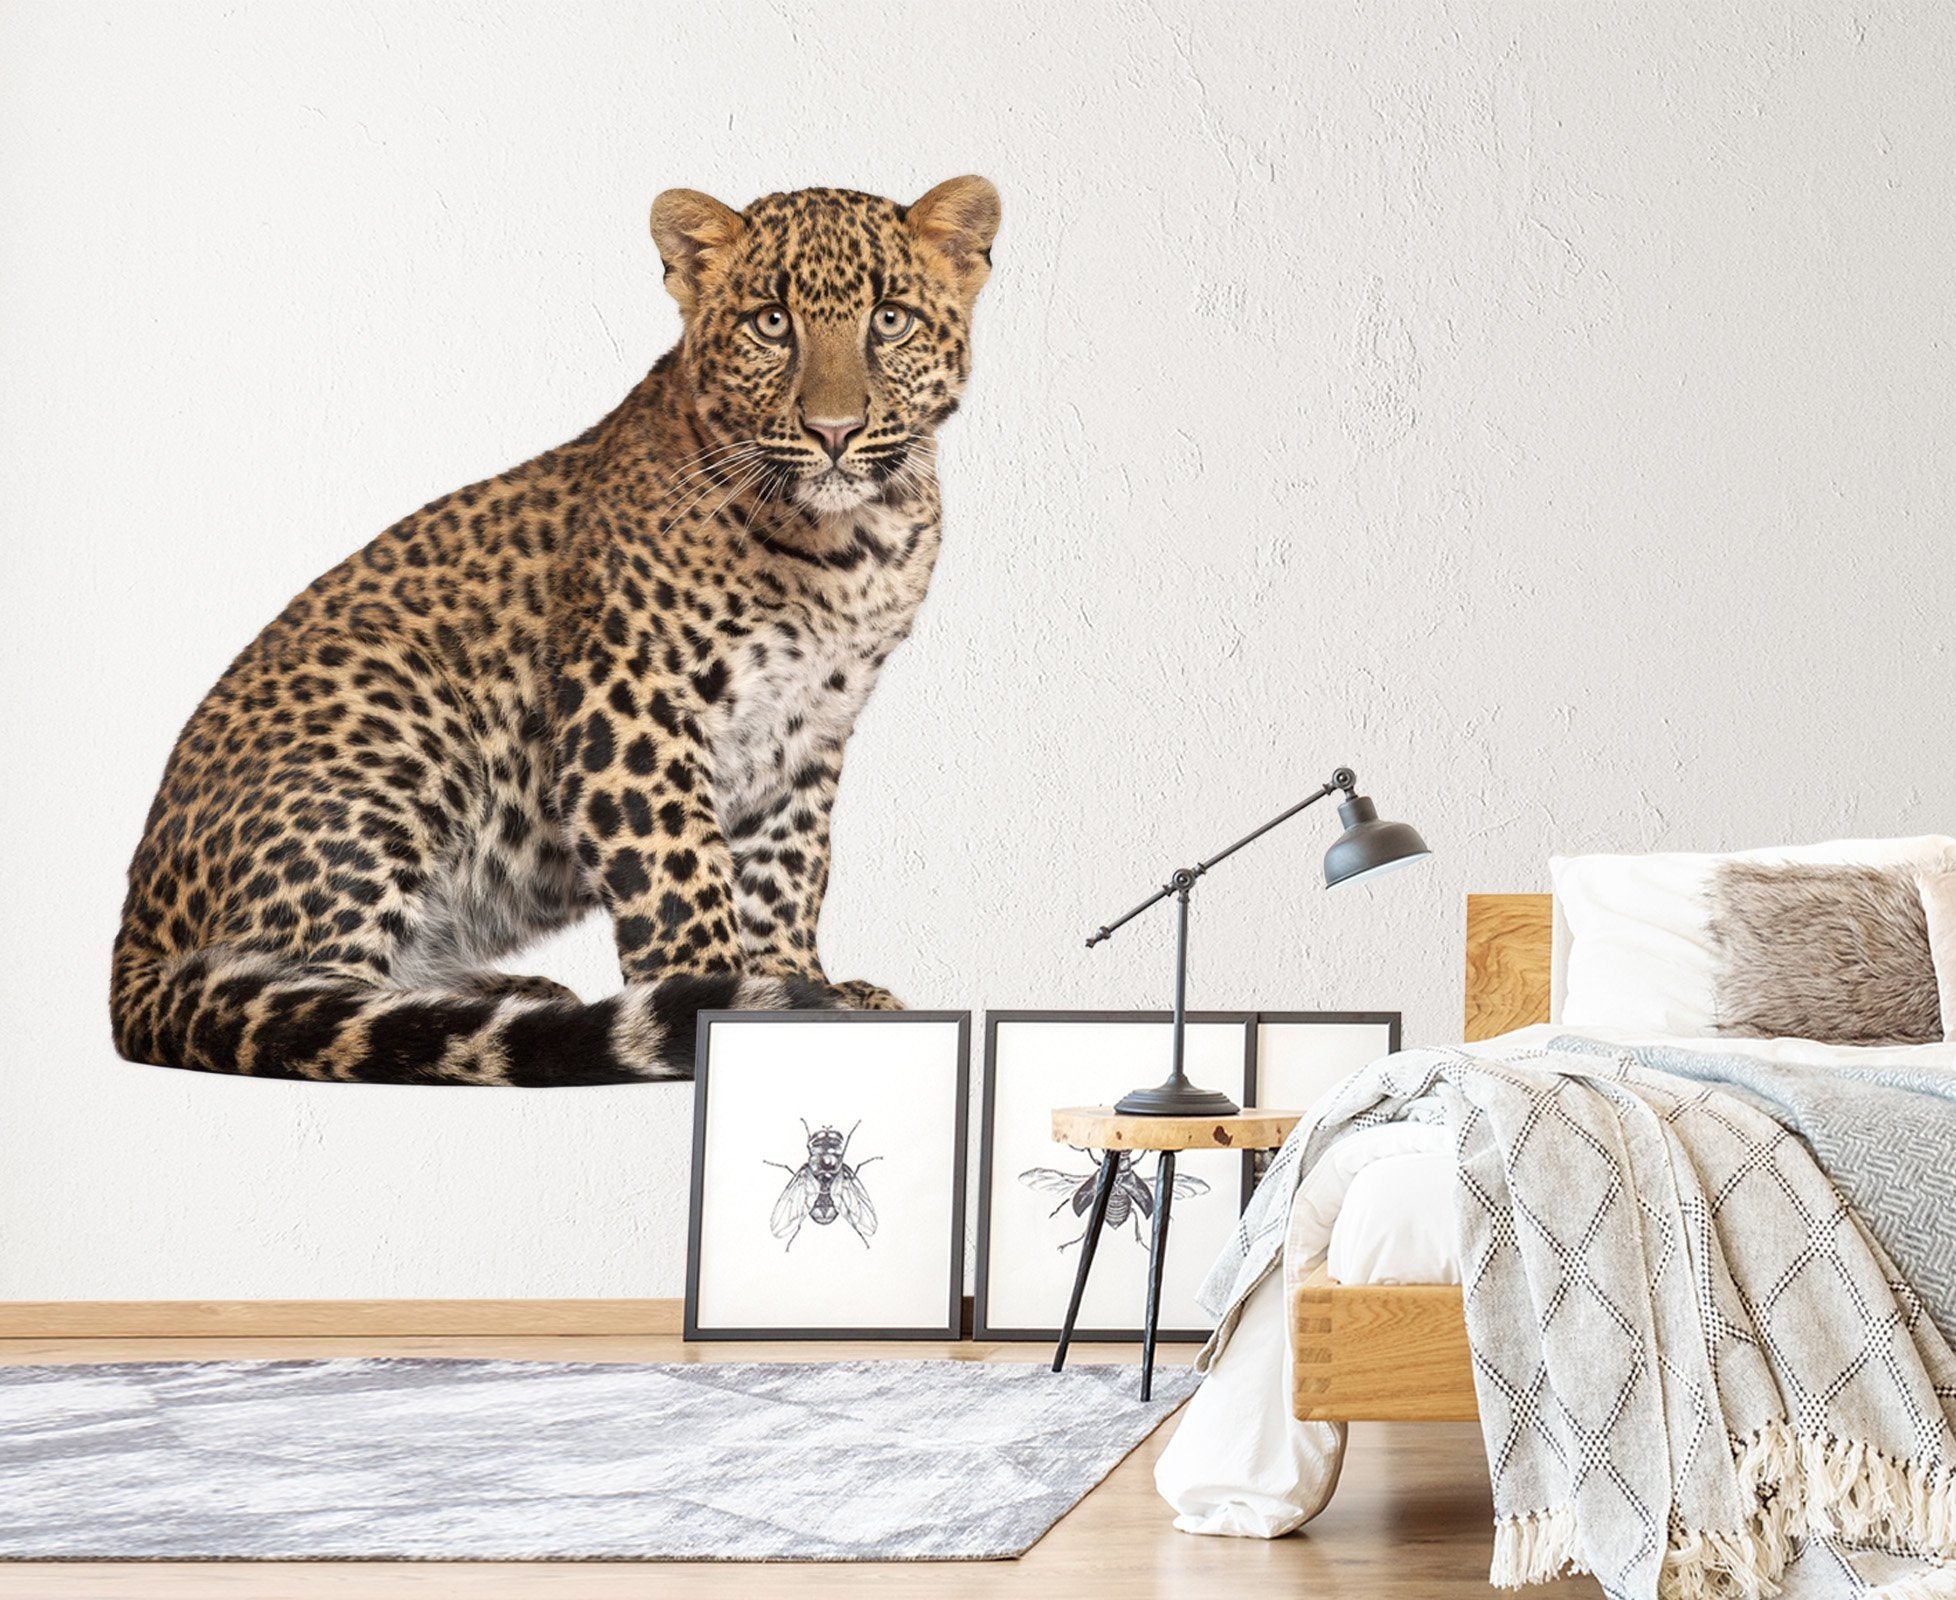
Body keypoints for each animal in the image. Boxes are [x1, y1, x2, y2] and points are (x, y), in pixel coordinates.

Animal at [110, 177, 1000, 1085]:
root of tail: (132, 943)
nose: (834, 431)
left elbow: (787, 869)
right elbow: (679, 868)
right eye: (770, 322)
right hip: (399, 709)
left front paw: (798, 987)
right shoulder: (631, 701)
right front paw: (715, 1003)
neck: (850, 548)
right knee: (305, 1004)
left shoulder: (807, 728)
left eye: (889, 319)